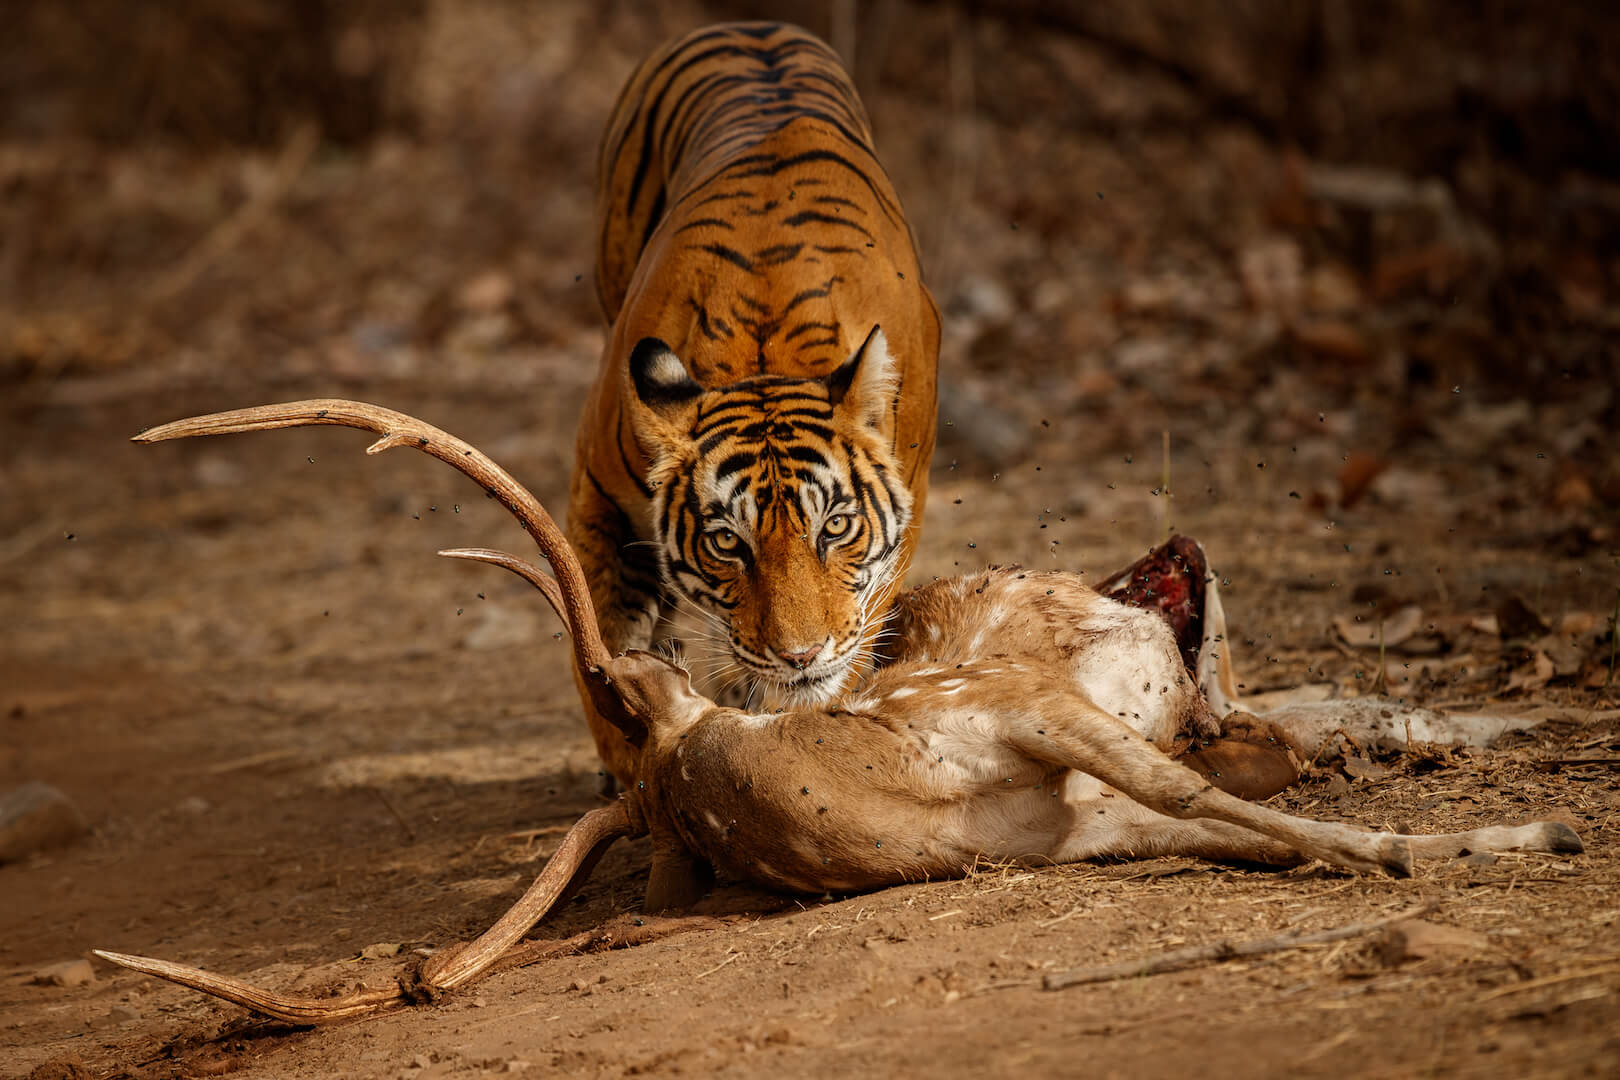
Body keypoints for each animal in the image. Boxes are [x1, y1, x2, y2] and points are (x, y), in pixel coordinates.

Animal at [567, 22, 940, 787]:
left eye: (836, 528)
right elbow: (602, 630)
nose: (800, 657)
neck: (765, 356)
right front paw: (632, 746)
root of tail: (749, 26)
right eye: (725, 543)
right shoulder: (599, 490)